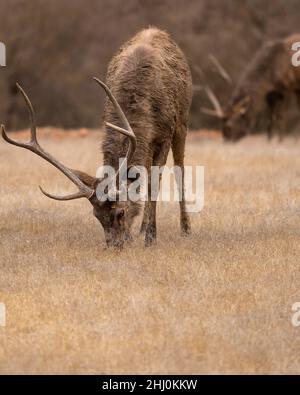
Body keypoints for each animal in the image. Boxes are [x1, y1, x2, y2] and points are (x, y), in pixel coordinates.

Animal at [0, 27, 192, 249]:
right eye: (96, 215)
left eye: (120, 212)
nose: (114, 245)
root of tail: (155, 30)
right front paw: (140, 234)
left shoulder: (165, 134)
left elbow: (155, 184)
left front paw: (151, 239)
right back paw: (143, 228)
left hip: (182, 120)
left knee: (178, 168)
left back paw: (185, 229)